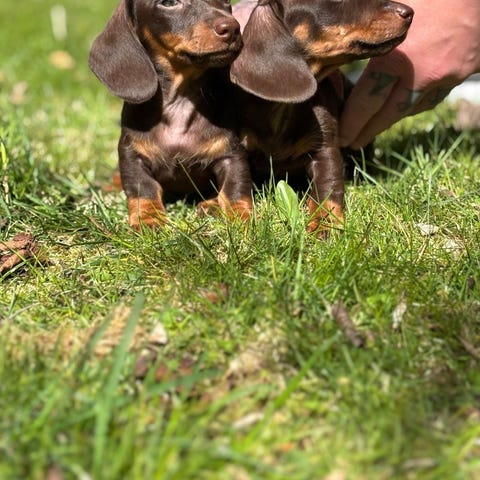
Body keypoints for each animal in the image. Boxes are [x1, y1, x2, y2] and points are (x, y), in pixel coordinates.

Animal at [89, 0, 253, 229]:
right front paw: (149, 218)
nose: (232, 28)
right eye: (169, 3)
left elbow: (235, 187)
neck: (180, 102)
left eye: (227, 1)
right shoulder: (132, 155)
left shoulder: (231, 154)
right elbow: (143, 188)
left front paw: (240, 216)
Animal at [231, 0, 413, 236]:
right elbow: (237, 184)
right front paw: (240, 219)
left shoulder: (325, 149)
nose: (409, 12)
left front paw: (325, 223)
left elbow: (328, 188)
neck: (280, 106)